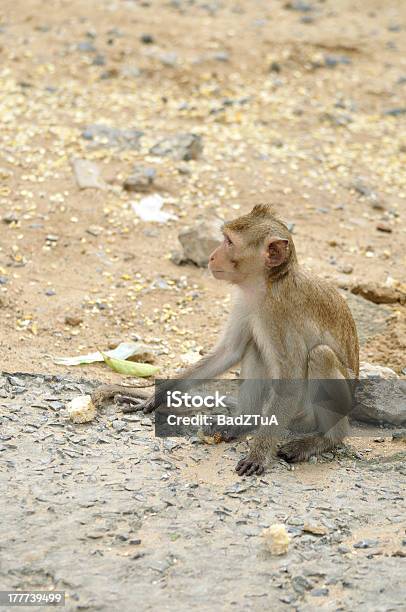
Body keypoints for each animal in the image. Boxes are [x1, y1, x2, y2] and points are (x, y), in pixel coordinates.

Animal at [93, 206, 360, 478]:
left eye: (229, 242)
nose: (211, 256)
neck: (267, 284)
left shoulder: (280, 313)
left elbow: (291, 380)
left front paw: (259, 453)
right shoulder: (245, 301)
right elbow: (229, 352)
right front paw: (155, 396)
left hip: (318, 408)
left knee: (321, 355)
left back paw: (326, 439)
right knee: (255, 346)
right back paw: (244, 423)